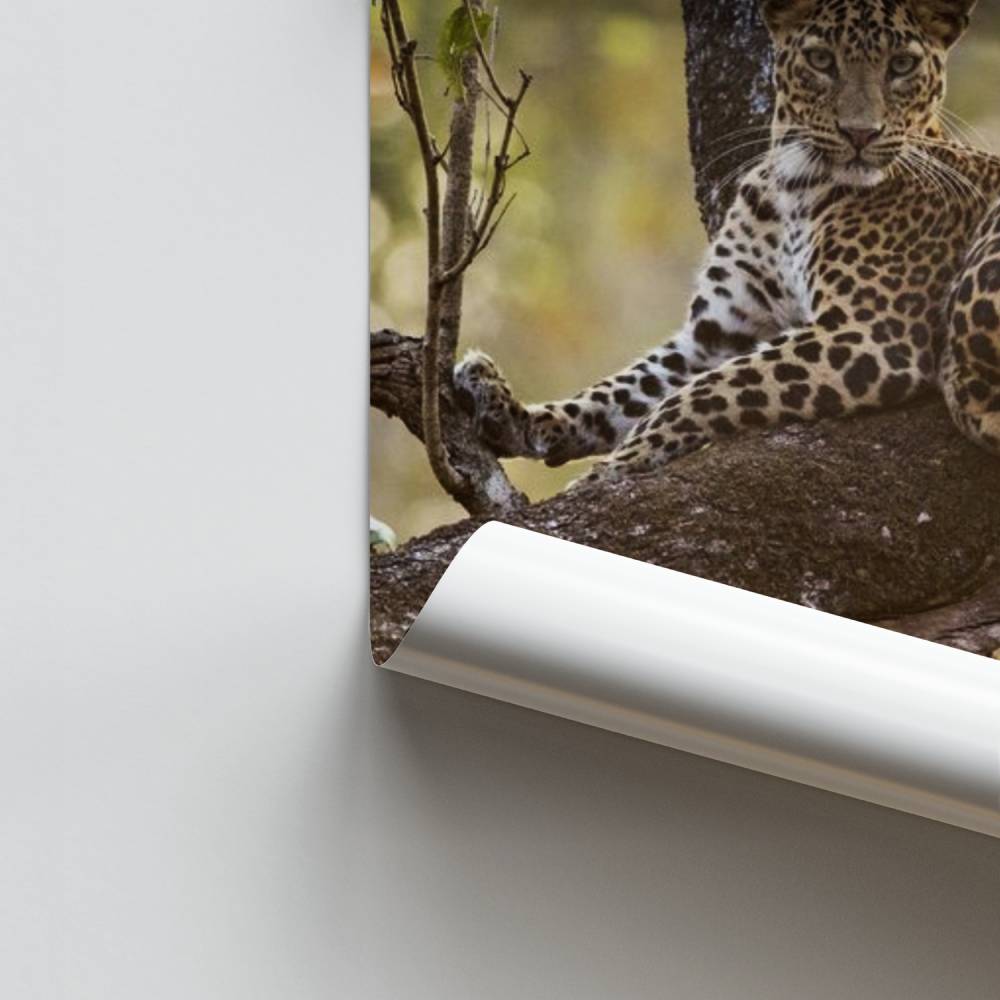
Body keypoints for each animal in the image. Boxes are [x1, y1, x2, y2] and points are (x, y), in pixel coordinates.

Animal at [454, 0, 1000, 486]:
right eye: (821, 60)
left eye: (902, 65)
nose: (860, 133)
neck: (798, 186)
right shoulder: (717, 331)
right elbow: (627, 387)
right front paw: (517, 414)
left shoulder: (870, 332)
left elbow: (707, 390)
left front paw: (616, 466)